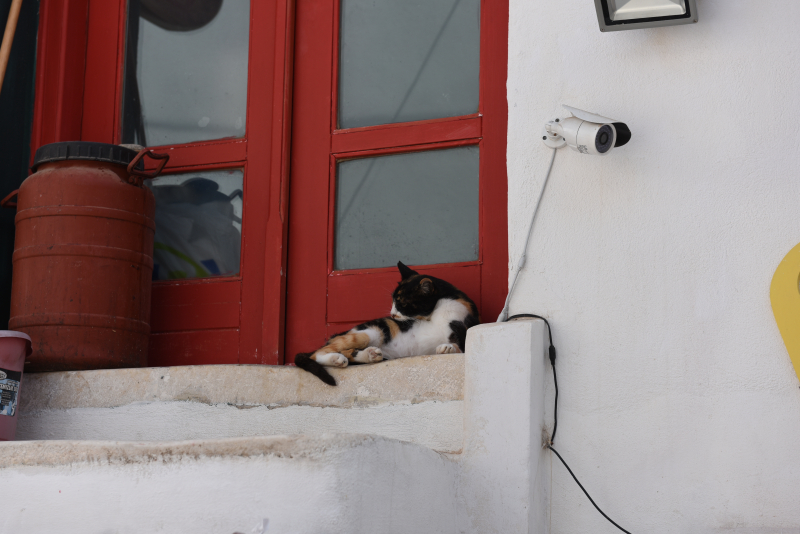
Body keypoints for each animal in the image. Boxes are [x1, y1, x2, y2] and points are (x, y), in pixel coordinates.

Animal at [296, 260, 478, 386]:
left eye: (402, 304)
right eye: (393, 302)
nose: (392, 314)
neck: (444, 303)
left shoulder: (463, 326)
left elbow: (462, 346)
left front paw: (447, 347)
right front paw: (447, 347)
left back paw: (369, 355)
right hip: (370, 332)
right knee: (317, 354)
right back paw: (337, 359)